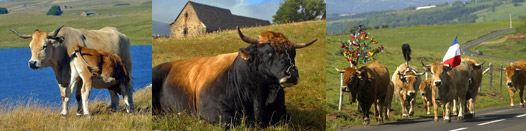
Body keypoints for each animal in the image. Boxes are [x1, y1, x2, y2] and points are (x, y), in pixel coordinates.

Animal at [153, 27, 318, 127]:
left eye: (293, 53)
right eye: (268, 52)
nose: (292, 73)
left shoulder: (283, 112)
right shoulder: (212, 110)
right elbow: (230, 121)